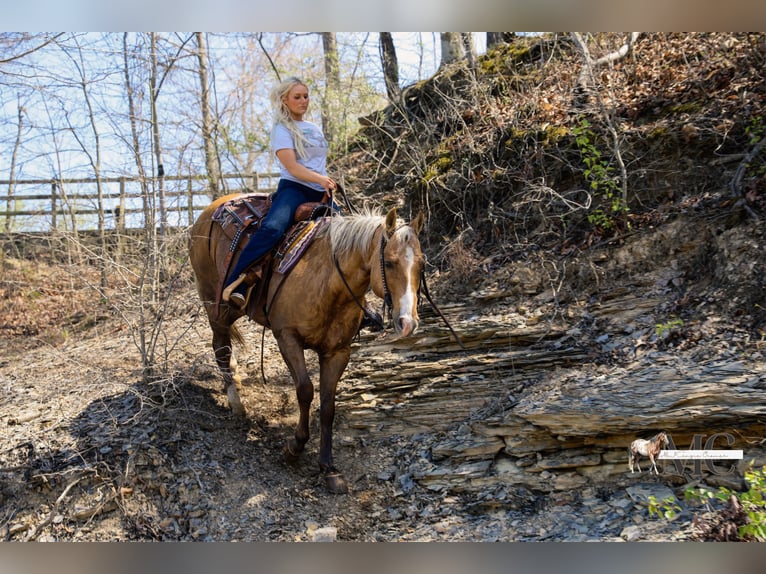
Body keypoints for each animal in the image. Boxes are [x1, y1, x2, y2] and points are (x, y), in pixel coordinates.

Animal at [189, 193, 425, 493]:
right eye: (391, 262)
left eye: (422, 264)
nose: (407, 322)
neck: (329, 284)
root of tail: (211, 207)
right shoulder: (287, 337)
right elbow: (305, 390)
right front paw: (294, 447)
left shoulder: (338, 352)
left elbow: (327, 406)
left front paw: (328, 468)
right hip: (214, 303)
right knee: (220, 346)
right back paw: (235, 402)